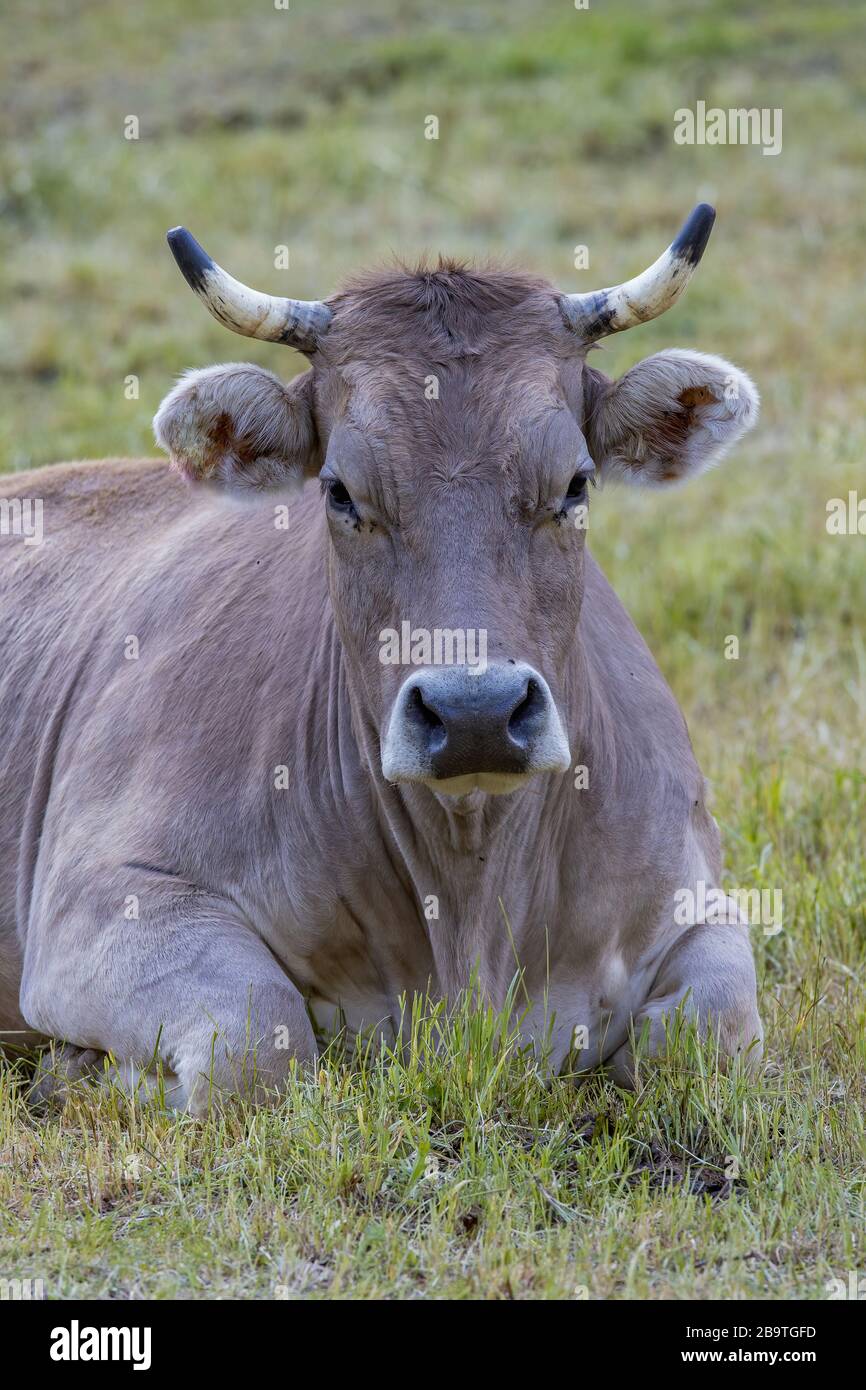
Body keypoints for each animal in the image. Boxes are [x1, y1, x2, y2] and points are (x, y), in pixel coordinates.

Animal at [0, 205, 763, 1112]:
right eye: (339, 492)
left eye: (576, 484)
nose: (476, 715)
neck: (470, 905)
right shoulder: (102, 899)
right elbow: (256, 1045)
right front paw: (79, 1070)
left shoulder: (696, 896)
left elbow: (706, 1036)